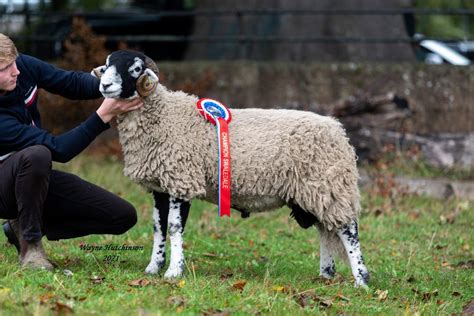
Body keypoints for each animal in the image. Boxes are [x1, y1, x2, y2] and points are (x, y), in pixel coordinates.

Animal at [92, 50, 372, 288]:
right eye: (106, 65)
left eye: (136, 69)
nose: (105, 86)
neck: (162, 115)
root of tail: (337, 129)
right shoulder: (161, 186)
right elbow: (158, 228)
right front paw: (153, 267)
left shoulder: (182, 180)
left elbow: (173, 227)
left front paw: (174, 271)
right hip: (314, 191)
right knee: (325, 229)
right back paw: (326, 274)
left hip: (330, 184)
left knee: (348, 230)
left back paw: (361, 279)